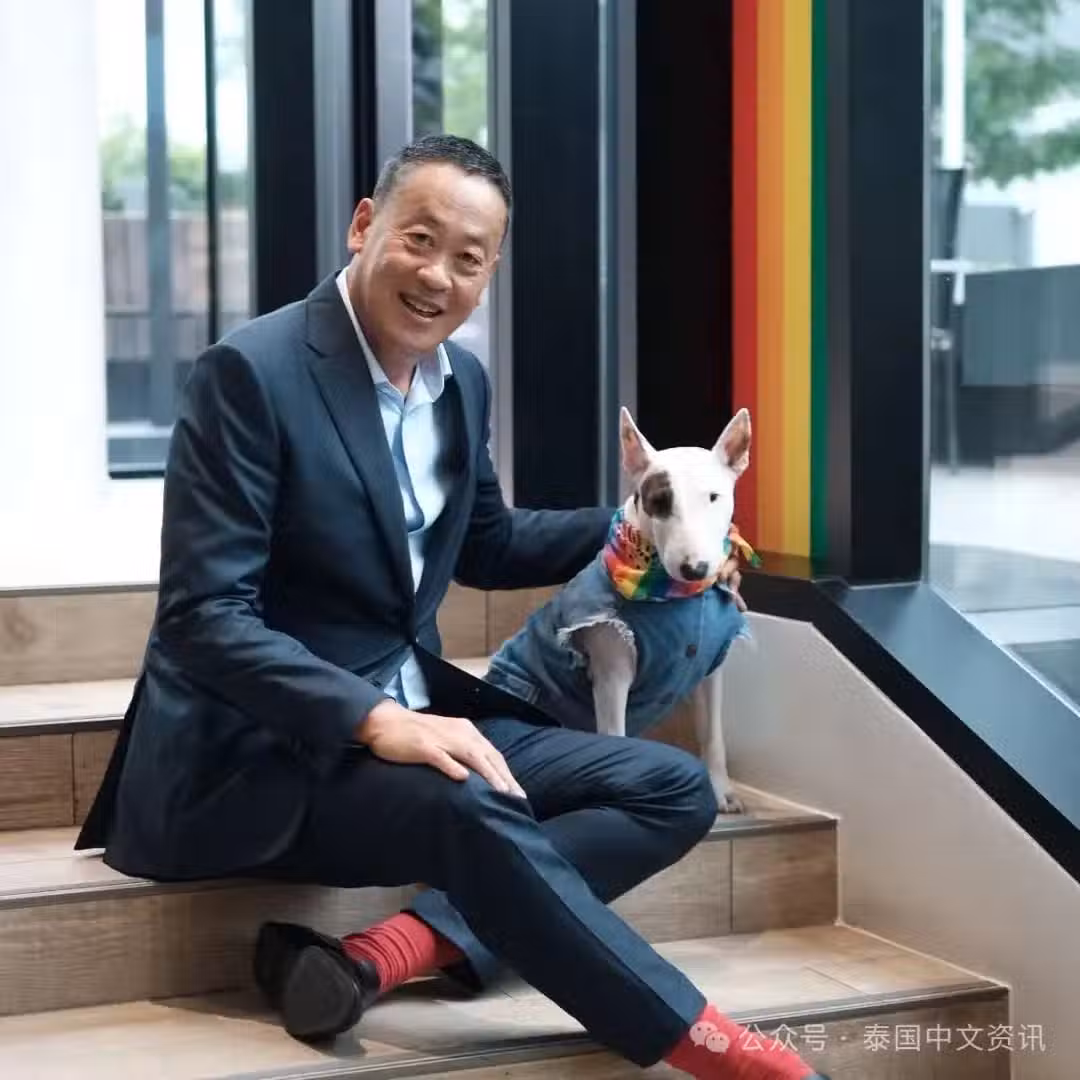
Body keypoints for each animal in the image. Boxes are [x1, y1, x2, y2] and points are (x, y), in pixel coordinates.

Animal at [485, 407, 753, 813]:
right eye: (659, 501)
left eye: (713, 497)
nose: (695, 568)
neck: (675, 596)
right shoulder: (612, 673)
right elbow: (616, 734)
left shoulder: (711, 669)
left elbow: (713, 733)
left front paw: (722, 791)